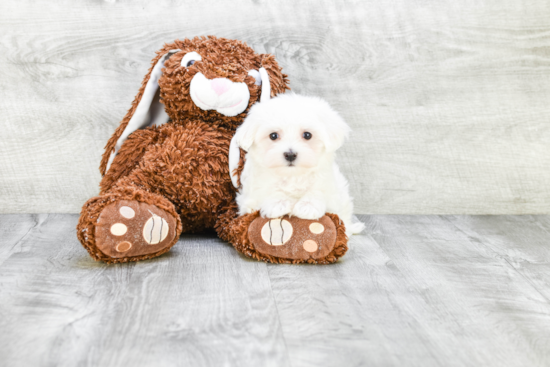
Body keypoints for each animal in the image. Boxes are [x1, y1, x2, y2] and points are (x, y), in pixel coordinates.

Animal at [230, 94, 366, 236]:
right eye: (273, 135)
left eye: (307, 135)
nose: (290, 154)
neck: (293, 176)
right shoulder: (250, 196)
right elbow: (266, 191)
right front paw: (278, 203)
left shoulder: (330, 186)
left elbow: (319, 190)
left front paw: (308, 206)